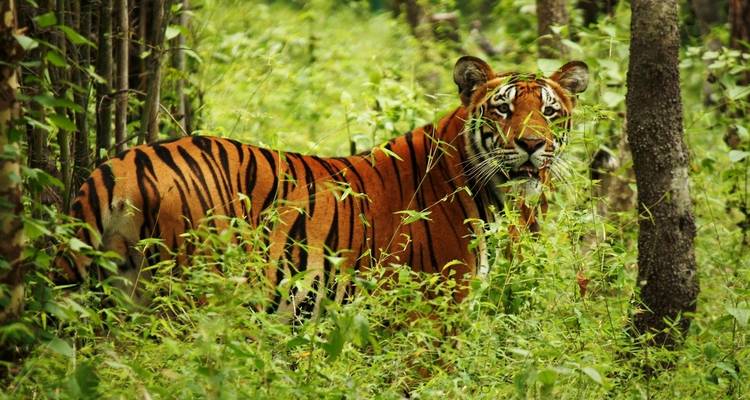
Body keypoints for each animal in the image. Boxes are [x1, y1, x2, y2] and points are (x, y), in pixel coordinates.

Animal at [55, 56, 589, 316]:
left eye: (549, 111)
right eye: (502, 109)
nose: (532, 145)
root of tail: (121, 163)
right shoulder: (431, 312)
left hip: (117, 294)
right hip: (192, 294)